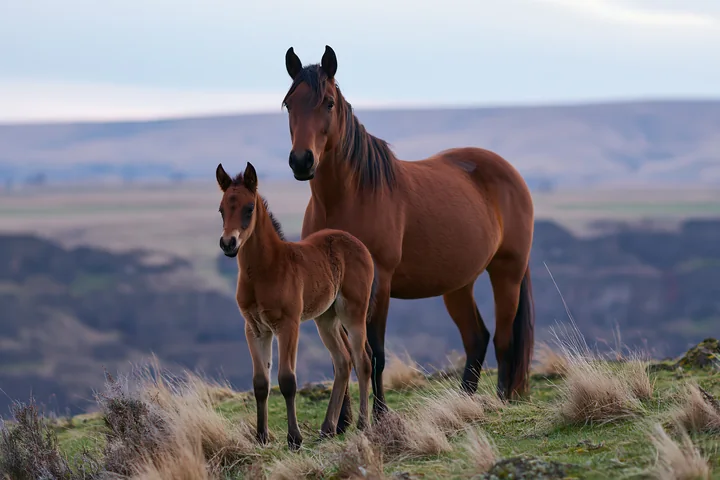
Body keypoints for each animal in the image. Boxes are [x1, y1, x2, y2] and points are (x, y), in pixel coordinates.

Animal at [216, 161, 376, 450]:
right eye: (222, 209)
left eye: (249, 208)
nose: (228, 243)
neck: (265, 270)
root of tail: (355, 242)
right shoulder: (255, 329)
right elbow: (260, 383)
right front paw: (261, 437)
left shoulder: (288, 325)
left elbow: (287, 380)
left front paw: (294, 438)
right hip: (326, 318)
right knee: (343, 361)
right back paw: (327, 428)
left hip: (353, 313)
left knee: (363, 360)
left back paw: (362, 424)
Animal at [281, 45, 536, 425]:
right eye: (289, 103)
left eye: (328, 102)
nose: (302, 161)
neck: (348, 197)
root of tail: (511, 173)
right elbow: (343, 354)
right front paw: (341, 423)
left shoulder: (380, 283)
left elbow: (375, 352)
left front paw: (379, 416)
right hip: (458, 284)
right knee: (477, 337)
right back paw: (463, 402)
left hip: (507, 273)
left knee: (503, 340)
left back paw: (501, 400)